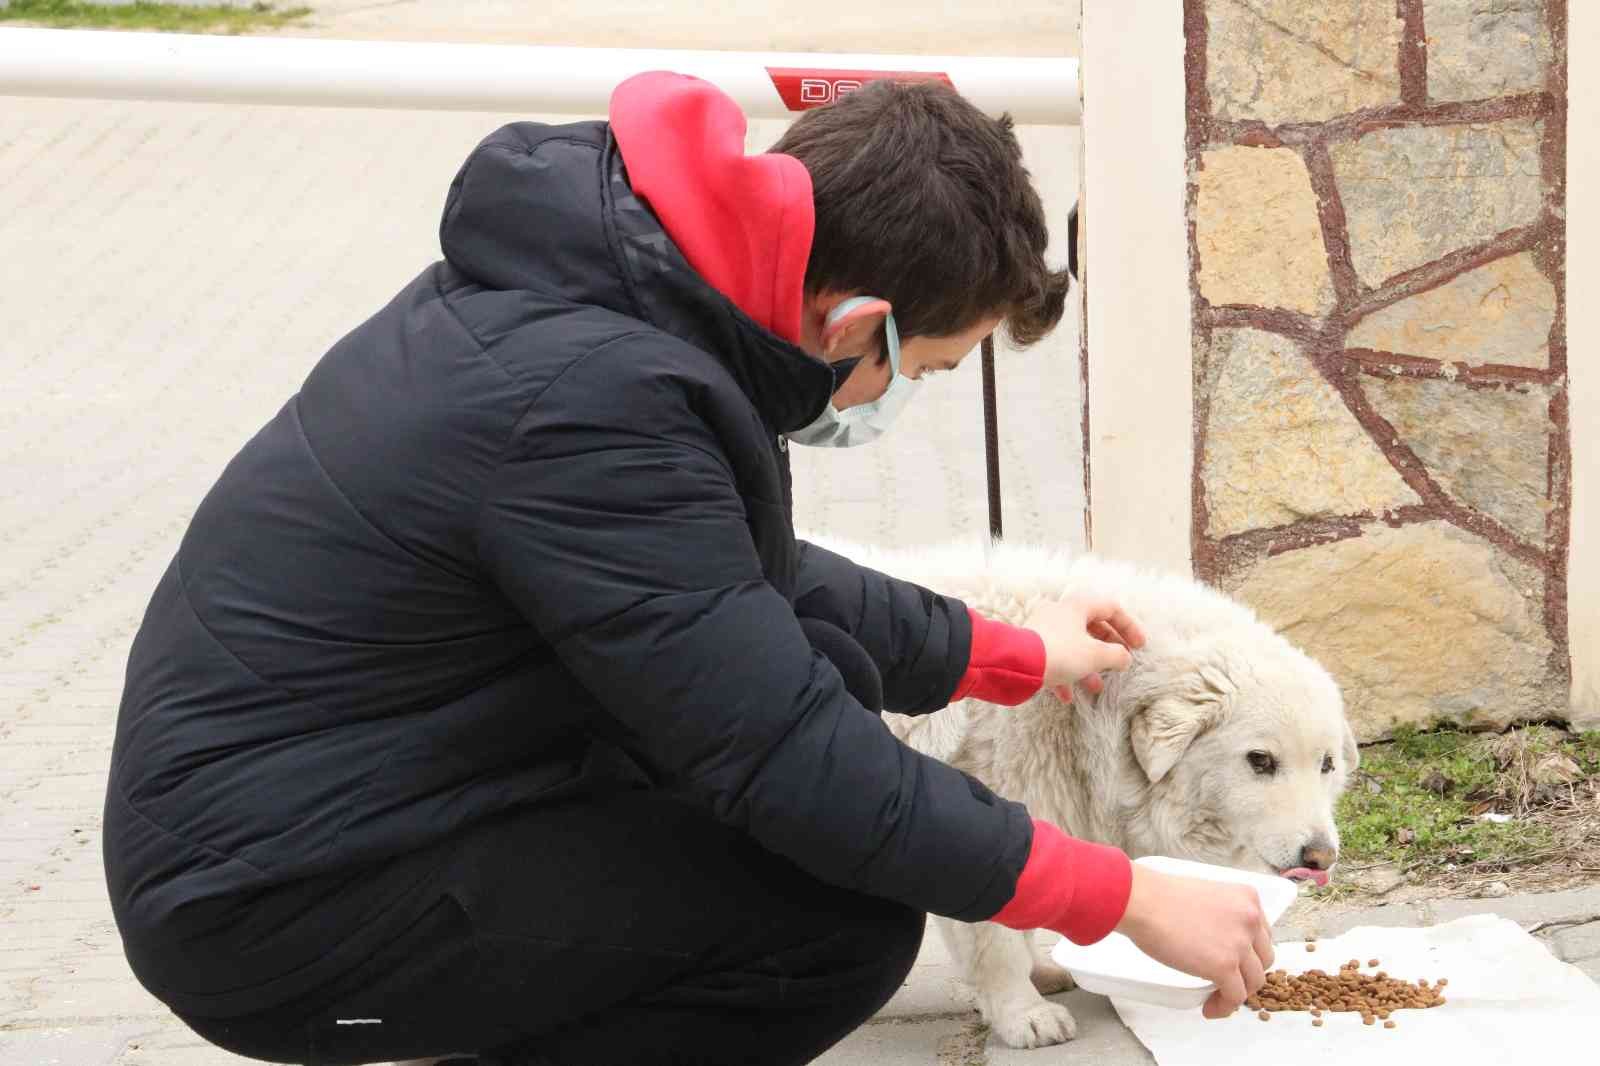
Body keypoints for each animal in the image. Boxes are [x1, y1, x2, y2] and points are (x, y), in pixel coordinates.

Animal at [812, 541, 1363, 1043]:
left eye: (1327, 765)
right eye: (1260, 761)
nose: (1321, 857)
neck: (1086, 716)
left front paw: (1038, 976)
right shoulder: (983, 829)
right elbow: (996, 936)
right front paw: (1023, 1014)